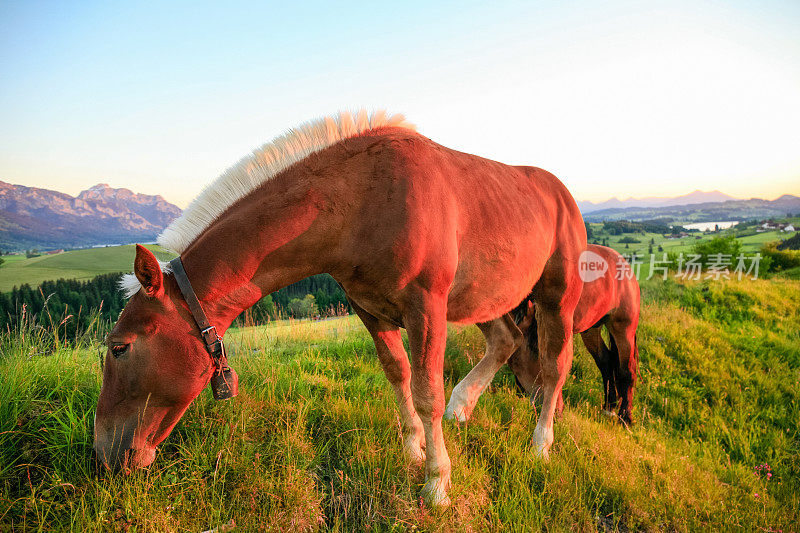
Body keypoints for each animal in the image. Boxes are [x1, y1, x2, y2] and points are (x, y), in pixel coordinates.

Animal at [94, 110, 588, 504]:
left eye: (119, 347)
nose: (101, 456)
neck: (362, 202)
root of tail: (562, 193)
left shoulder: (426, 309)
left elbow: (426, 392)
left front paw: (437, 484)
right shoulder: (370, 309)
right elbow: (398, 374)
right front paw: (414, 450)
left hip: (556, 299)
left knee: (553, 366)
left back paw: (540, 445)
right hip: (483, 299)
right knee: (507, 340)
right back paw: (462, 406)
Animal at [506, 244, 644, 424]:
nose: (540, 399)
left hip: (623, 330)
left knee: (627, 370)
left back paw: (625, 416)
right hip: (591, 329)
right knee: (606, 362)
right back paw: (609, 407)